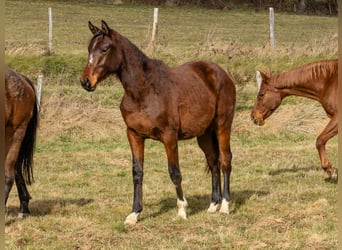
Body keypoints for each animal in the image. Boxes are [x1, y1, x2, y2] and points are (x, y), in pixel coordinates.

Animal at [80, 21, 236, 225]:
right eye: (89, 48)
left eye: (104, 49)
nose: (85, 81)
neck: (144, 91)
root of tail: (222, 74)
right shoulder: (134, 135)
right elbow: (137, 172)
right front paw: (134, 213)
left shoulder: (169, 137)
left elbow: (174, 172)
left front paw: (182, 211)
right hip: (204, 134)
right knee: (213, 162)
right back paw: (213, 205)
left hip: (222, 126)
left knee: (225, 160)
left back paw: (224, 206)